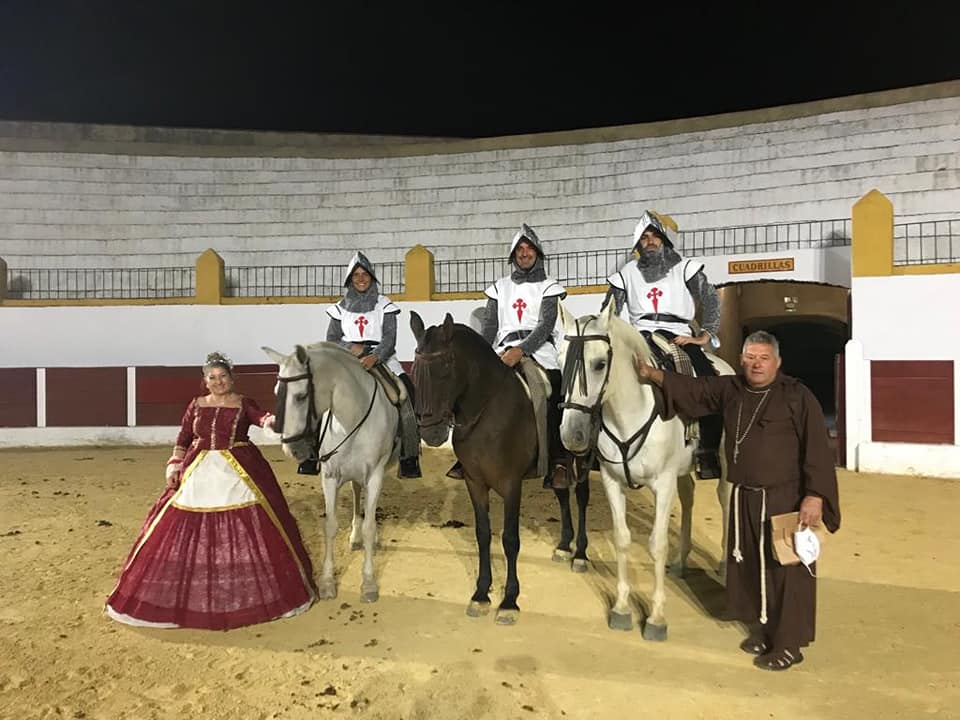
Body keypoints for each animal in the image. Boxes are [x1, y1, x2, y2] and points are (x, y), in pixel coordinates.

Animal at [262, 344, 398, 600]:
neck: (352, 418)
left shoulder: (375, 475)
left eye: (301, 396)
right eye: (275, 391)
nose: (291, 449)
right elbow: (330, 526)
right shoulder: (329, 477)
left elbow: (370, 525)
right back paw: (354, 536)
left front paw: (368, 582)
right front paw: (326, 581)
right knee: (356, 493)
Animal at [408, 310, 544, 624]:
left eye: (446, 366)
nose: (431, 432)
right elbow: (483, 534)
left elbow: (509, 539)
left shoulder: (511, 484)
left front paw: (509, 601)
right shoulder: (474, 482)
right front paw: (482, 593)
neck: (487, 412)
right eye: (416, 368)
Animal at [556, 300, 736, 640]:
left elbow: (657, 544)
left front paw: (656, 618)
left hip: (725, 467)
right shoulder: (613, 482)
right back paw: (681, 562)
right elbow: (622, 539)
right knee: (689, 497)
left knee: (726, 501)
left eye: (600, 364)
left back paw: (723, 564)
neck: (629, 412)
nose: (572, 434)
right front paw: (621, 609)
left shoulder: (662, 485)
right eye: (561, 363)